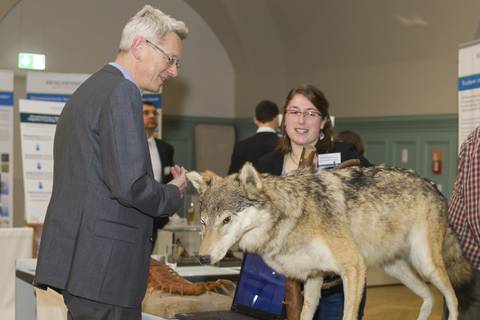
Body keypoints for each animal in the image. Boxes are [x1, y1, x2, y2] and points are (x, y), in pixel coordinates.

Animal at [186, 164, 470, 318]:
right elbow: (305, 313)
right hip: (398, 269)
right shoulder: (314, 276)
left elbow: (348, 314)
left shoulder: (353, 268)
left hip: (426, 264)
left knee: (452, 299)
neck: (295, 215)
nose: (202, 257)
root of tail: (434, 185)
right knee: (429, 297)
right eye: (204, 222)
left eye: (226, 220)